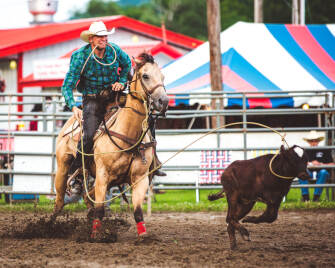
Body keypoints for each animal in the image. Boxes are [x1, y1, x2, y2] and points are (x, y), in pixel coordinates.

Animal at [52, 52, 169, 239]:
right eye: (145, 76)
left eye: (162, 77)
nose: (163, 101)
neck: (129, 133)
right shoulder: (103, 175)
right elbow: (100, 209)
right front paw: (96, 236)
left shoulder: (140, 178)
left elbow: (137, 211)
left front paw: (143, 235)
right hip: (63, 167)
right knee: (60, 202)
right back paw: (48, 227)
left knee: (87, 197)